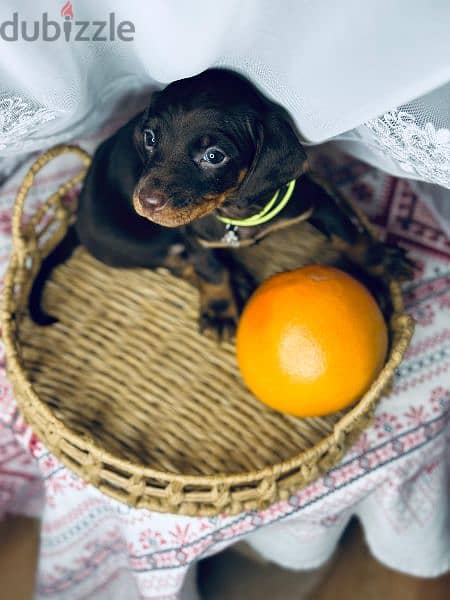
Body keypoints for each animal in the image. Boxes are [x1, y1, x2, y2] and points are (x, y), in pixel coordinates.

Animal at [29, 69, 414, 338]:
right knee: (178, 264)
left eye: (214, 156)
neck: (233, 212)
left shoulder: (314, 199)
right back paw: (235, 282)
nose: (146, 202)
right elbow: (210, 268)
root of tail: (77, 217)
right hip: (135, 242)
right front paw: (218, 309)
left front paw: (381, 260)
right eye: (150, 137)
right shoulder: (193, 236)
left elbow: (347, 233)